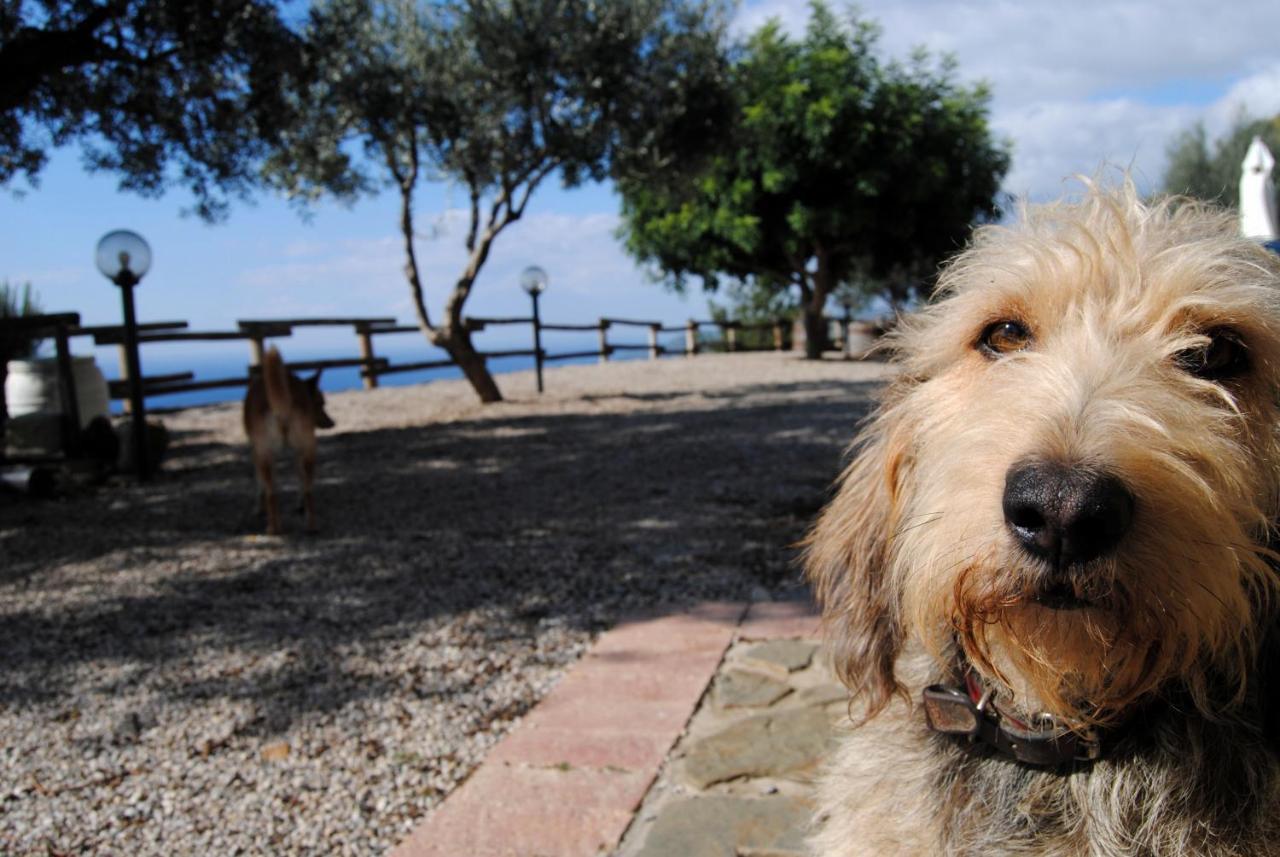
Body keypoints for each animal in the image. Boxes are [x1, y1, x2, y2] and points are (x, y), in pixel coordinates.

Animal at [241, 345, 335, 534]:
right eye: (321, 403)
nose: (332, 423)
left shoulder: (255, 451)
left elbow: (259, 483)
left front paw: (257, 509)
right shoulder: (296, 453)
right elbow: (299, 480)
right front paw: (299, 506)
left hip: (265, 453)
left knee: (271, 492)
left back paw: (273, 528)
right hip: (308, 448)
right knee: (308, 489)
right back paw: (311, 524)